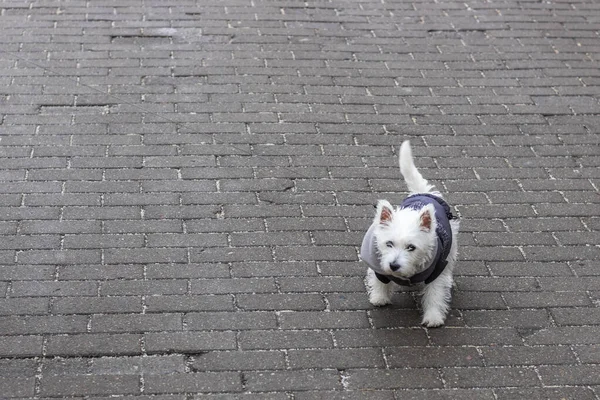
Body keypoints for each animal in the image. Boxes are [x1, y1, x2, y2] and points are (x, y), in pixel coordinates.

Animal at [360, 141, 460, 328]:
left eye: (411, 247)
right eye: (389, 243)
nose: (393, 266)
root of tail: (423, 193)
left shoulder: (436, 272)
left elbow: (435, 294)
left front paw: (433, 317)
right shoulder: (378, 267)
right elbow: (379, 282)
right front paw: (379, 297)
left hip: (450, 249)